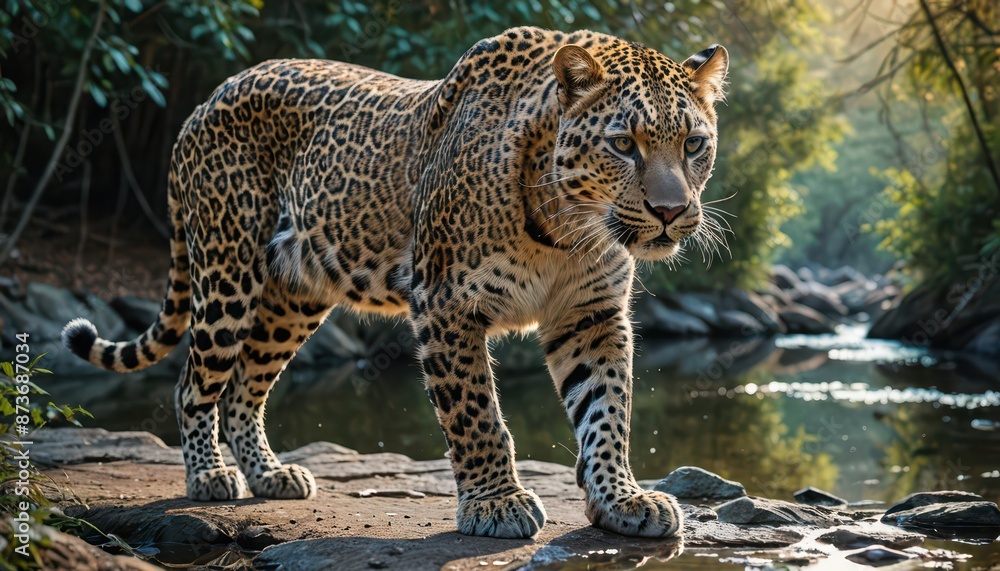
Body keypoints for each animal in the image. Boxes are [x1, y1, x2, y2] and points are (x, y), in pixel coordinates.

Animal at [61, 26, 728, 539]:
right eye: (623, 144)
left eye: (694, 143)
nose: (671, 211)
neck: (568, 228)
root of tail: (205, 101)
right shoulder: (445, 303)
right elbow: (476, 413)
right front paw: (496, 504)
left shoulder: (590, 315)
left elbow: (607, 410)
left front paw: (621, 499)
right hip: (228, 273)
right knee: (195, 382)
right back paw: (209, 477)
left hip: (293, 297)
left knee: (244, 387)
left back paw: (271, 475)